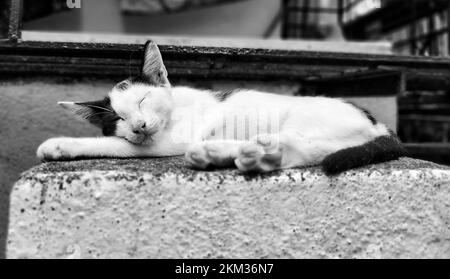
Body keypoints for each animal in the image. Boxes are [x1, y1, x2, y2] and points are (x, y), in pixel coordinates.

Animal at [37, 41, 406, 175]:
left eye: (142, 100)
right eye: (120, 118)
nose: (139, 125)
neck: (177, 107)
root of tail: (378, 125)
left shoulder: (171, 140)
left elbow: (116, 145)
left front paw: (59, 144)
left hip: (308, 119)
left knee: (304, 147)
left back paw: (249, 155)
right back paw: (224, 154)